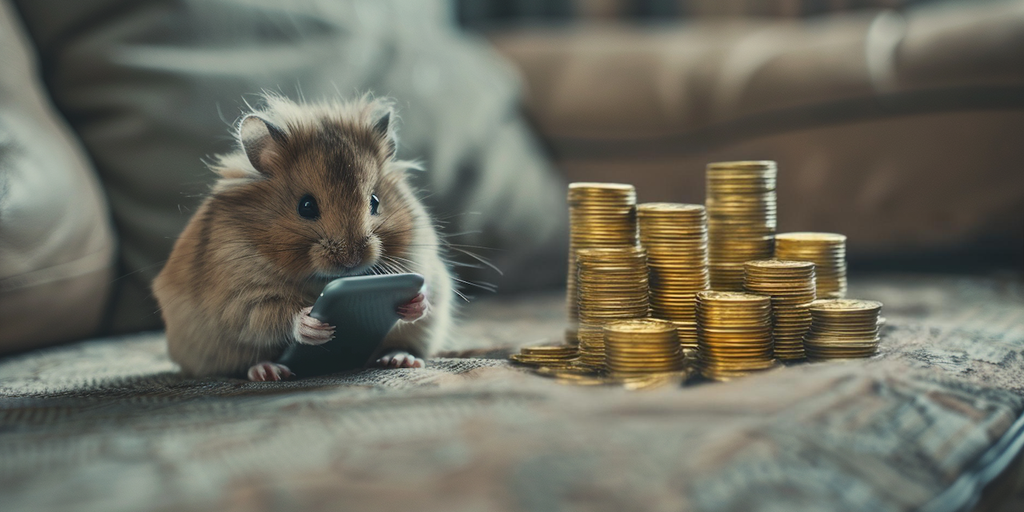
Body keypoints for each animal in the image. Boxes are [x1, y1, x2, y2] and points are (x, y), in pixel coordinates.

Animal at [153, 94, 453, 381]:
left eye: (375, 202)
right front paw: (313, 326)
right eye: (306, 206)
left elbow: (421, 296)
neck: (318, 279)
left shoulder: (419, 264)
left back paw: (399, 359)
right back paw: (267, 371)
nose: (352, 260)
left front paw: (416, 302)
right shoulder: (238, 298)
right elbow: (271, 315)